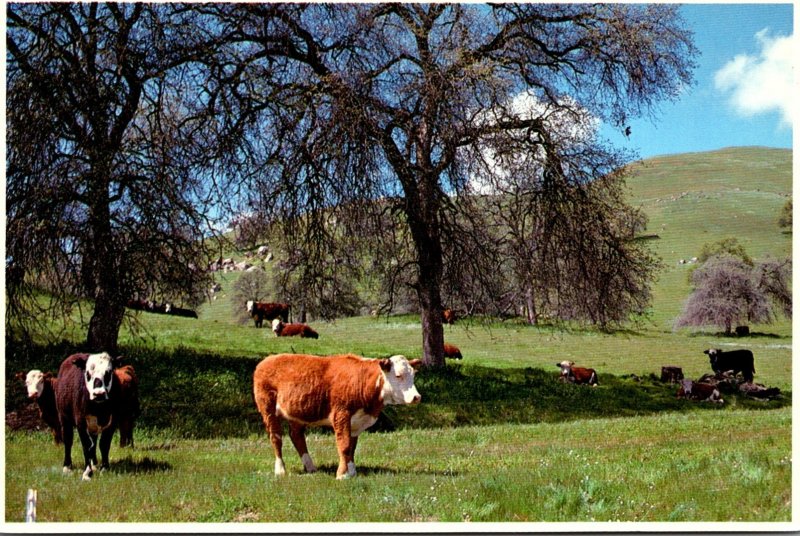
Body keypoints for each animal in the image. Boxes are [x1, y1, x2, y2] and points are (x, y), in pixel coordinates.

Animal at [56, 352, 122, 482]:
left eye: (108, 372)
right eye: (88, 373)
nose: (99, 394)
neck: (98, 409)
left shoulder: (112, 422)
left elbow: (104, 444)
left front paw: (104, 468)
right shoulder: (81, 423)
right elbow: (86, 446)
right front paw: (87, 472)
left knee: (94, 442)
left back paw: (94, 464)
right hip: (64, 418)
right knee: (68, 440)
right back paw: (67, 466)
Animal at [253, 354, 422, 480]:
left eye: (413, 375)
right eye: (398, 375)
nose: (416, 397)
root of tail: (266, 360)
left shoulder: (356, 422)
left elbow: (352, 447)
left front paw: (352, 471)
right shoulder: (341, 415)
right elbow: (344, 445)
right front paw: (342, 474)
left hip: (296, 413)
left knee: (297, 436)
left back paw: (310, 467)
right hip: (267, 408)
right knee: (276, 438)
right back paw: (280, 469)